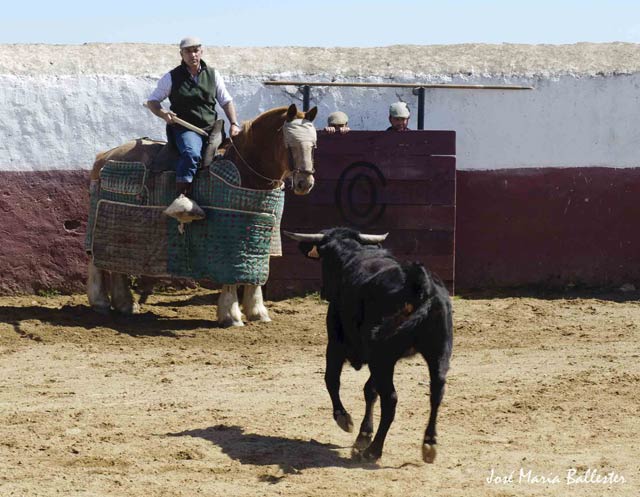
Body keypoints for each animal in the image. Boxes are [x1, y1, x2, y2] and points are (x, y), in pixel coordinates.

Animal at [88, 103, 320, 326]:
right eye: (289, 145)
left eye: (313, 146)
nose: (304, 183)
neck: (245, 168)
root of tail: (104, 156)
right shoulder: (230, 240)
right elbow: (231, 274)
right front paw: (231, 315)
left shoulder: (260, 232)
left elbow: (256, 272)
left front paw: (257, 312)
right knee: (96, 260)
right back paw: (100, 302)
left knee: (114, 263)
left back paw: (125, 304)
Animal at [282, 228, 452, 462]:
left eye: (324, 261)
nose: (324, 292)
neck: (351, 255)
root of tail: (420, 286)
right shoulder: (376, 356)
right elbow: (370, 391)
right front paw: (363, 435)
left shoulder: (336, 344)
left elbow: (331, 380)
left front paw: (344, 419)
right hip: (437, 352)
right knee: (436, 391)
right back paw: (429, 444)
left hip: (384, 358)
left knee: (390, 399)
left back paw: (374, 450)